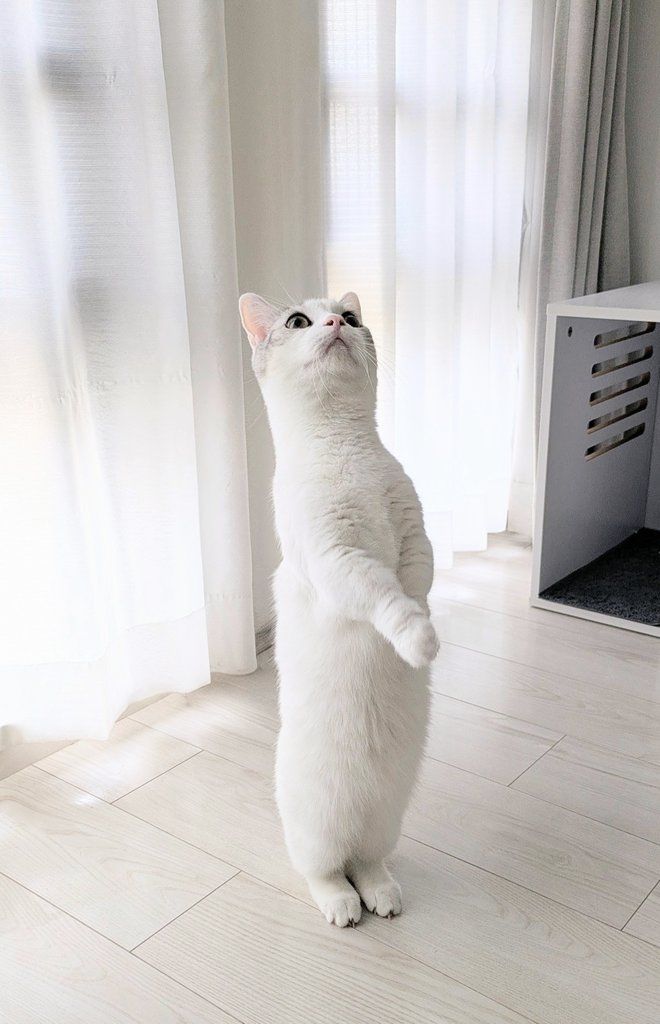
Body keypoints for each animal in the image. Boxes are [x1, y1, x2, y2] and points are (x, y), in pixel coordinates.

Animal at [239, 291, 438, 927]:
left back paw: (382, 895)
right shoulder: (339, 557)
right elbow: (385, 596)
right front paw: (418, 642)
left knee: (370, 865)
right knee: (324, 872)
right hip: (317, 830)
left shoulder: (415, 535)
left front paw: (424, 636)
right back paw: (343, 906)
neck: (346, 449)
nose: (333, 322)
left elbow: (417, 582)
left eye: (350, 319)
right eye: (298, 321)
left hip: (386, 821)